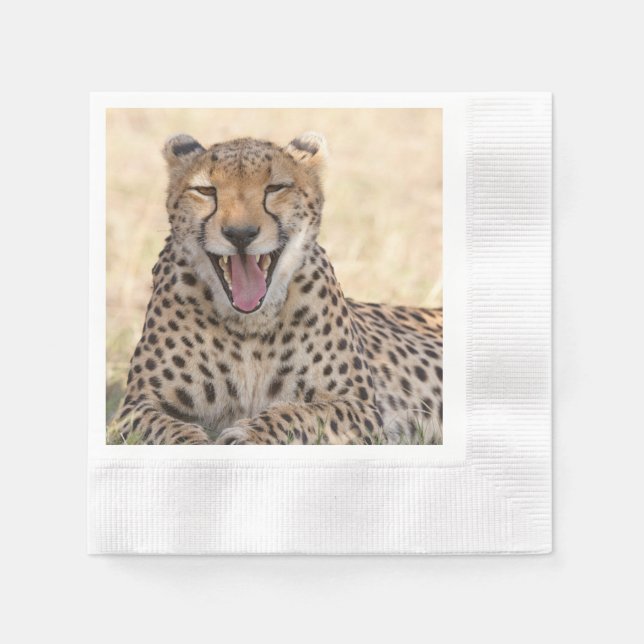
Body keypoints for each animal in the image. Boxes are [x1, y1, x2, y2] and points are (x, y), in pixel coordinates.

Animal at [109, 132, 443, 445]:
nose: (240, 234)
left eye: (275, 188)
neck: (248, 326)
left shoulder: (358, 408)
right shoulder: (135, 408)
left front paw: (249, 435)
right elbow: (167, 429)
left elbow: (298, 414)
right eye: (205, 191)